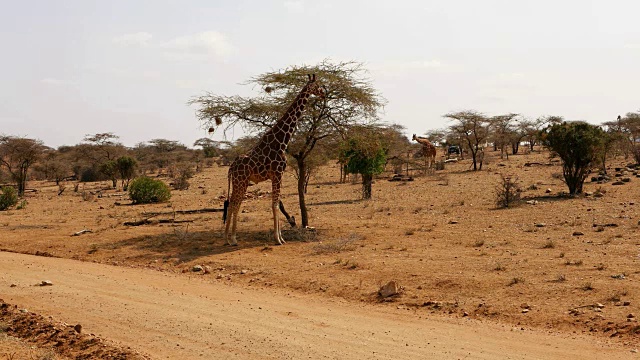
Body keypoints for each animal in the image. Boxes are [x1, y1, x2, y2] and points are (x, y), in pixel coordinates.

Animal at [224, 74, 324, 246]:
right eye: (317, 85)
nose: (324, 94)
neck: (282, 140)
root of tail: (231, 168)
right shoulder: (277, 174)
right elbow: (275, 205)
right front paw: (278, 239)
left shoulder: (276, 175)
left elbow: (276, 203)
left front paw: (280, 237)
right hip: (241, 181)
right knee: (235, 203)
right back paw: (233, 238)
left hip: (240, 182)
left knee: (233, 203)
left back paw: (228, 238)